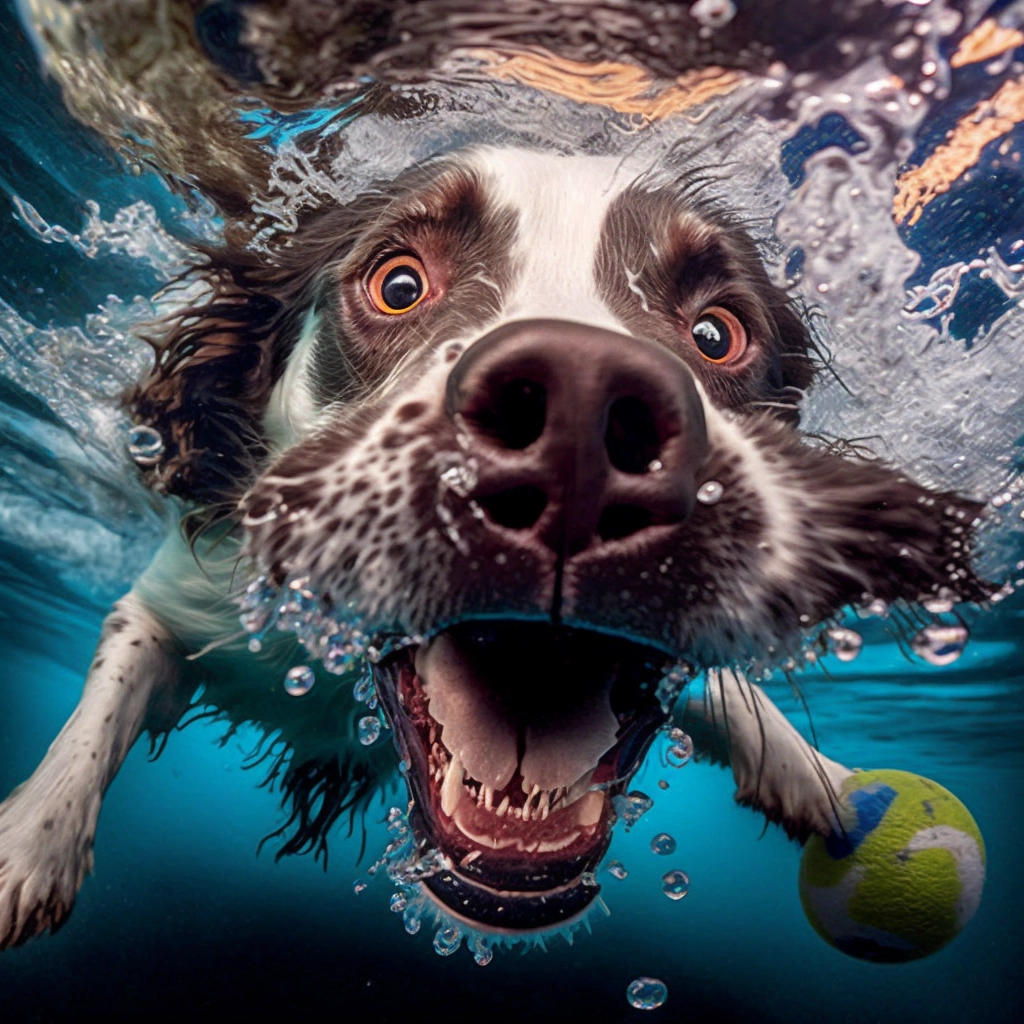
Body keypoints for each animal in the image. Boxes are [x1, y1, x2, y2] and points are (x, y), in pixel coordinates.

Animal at [0, 140, 991, 946]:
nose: (581, 417)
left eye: (718, 332)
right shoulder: (193, 605)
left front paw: (825, 783)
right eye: (399, 283)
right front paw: (29, 843)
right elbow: (114, 685)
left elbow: (735, 701)